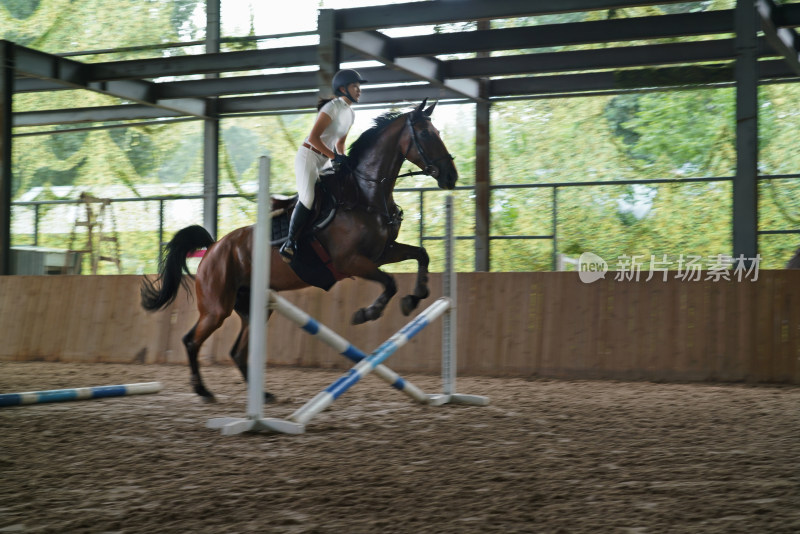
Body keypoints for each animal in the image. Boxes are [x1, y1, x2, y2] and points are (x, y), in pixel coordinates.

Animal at [140, 99, 454, 402]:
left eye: (438, 132)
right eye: (426, 134)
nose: (451, 177)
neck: (365, 195)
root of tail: (214, 247)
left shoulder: (383, 252)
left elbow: (421, 255)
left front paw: (415, 297)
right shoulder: (351, 261)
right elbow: (389, 282)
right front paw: (368, 312)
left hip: (253, 307)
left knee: (238, 351)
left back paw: (263, 396)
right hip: (217, 308)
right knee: (192, 340)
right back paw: (203, 391)